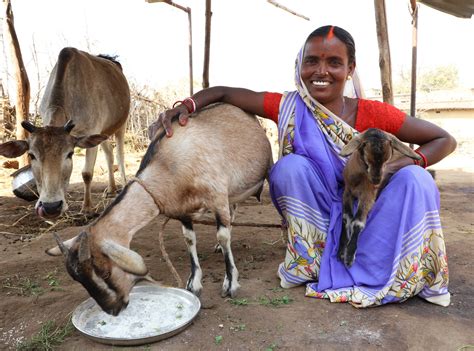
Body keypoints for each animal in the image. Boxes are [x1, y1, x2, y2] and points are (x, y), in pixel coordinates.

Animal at [0, 48, 130, 219]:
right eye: (31, 155)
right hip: (104, 132)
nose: (51, 207)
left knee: (120, 156)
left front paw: (87, 208)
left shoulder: (91, 131)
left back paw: (124, 184)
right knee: (109, 154)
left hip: (121, 124)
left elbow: (87, 173)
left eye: (70, 154)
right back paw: (111, 189)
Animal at [336, 128, 420, 268]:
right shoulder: (347, 192)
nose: (376, 180)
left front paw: (349, 256)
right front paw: (341, 250)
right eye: (367, 160)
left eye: (387, 160)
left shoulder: (368, 196)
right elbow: (346, 218)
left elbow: (358, 222)